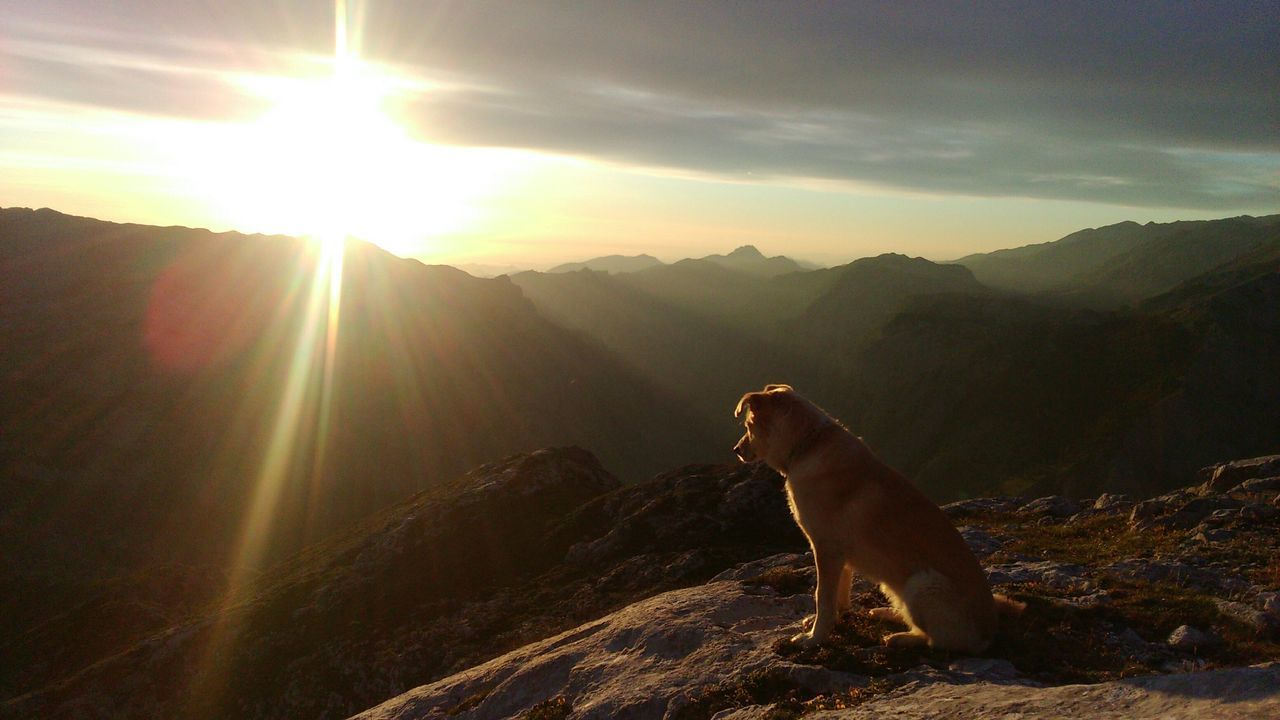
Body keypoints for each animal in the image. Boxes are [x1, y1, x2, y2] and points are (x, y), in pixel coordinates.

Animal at [737, 384, 1024, 648]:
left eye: (749, 425)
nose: (736, 450)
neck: (808, 443)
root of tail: (990, 629)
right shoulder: (840, 557)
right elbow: (839, 594)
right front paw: (834, 619)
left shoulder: (826, 549)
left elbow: (822, 597)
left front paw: (814, 637)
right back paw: (889, 614)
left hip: (922, 583)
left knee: (935, 640)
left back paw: (900, 637)